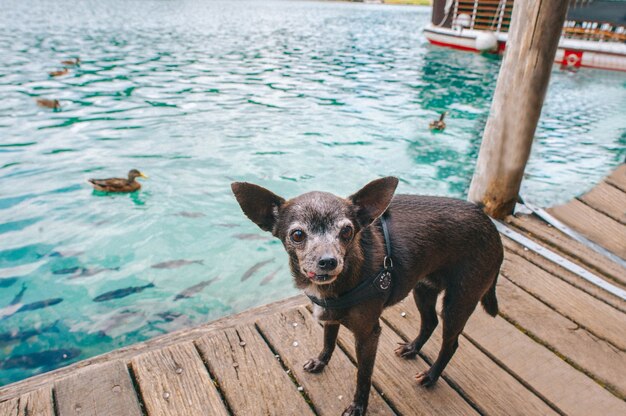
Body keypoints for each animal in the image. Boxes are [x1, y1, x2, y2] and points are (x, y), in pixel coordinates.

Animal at [230, 177, 502, 414]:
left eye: (347, 231)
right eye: (297, 235)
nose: (328, 261)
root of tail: (492, 227)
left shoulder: (368, 335)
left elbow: (363, 375)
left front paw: (358, 407)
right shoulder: (330, 316)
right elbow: (328, 342)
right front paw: (320, 362)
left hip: (459, 301)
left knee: (451, 342)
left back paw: (431, 376)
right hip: (423, 289)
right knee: (430, 322)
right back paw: (412, 348)